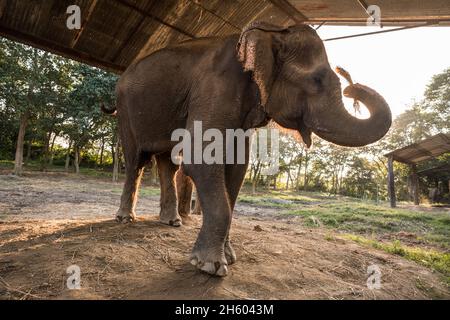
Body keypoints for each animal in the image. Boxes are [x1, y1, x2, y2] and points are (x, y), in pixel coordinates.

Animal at [104, 21, 390, 276]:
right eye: (317, 79)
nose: (352, 85)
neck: (271, 34)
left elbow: (236, 168)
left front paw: (229, 257)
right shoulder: (215, 88)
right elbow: (202, 160)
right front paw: (210, 266)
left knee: (168, 164)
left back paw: (172, 222)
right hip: (126, 111)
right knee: (136, 161)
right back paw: (125, 218)